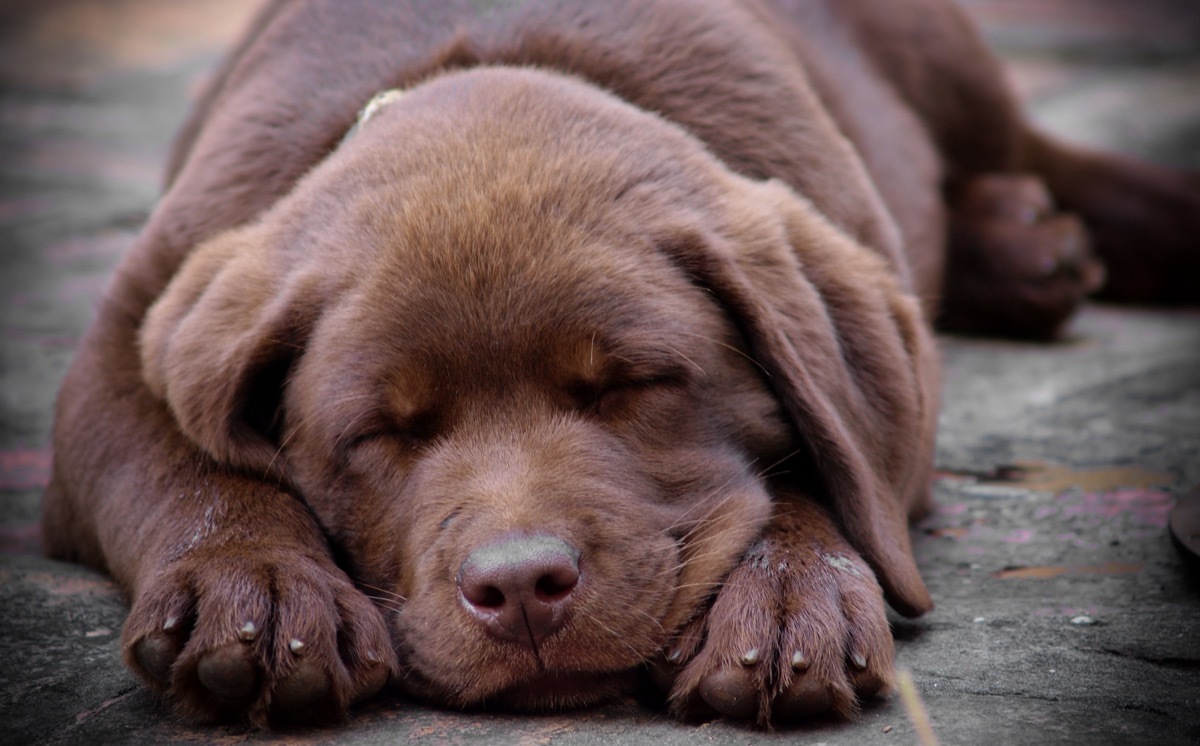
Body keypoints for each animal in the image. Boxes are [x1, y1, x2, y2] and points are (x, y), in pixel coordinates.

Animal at [39, 0, 1200, 729]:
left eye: (631, 386)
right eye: (380, 433)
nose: (520, 588)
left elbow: (820, 473)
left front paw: (787, 598)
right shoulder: (124, 342)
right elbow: (184, 466)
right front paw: (257, 589)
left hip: (943, 62)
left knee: (1039, 157)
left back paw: (1030, 240)